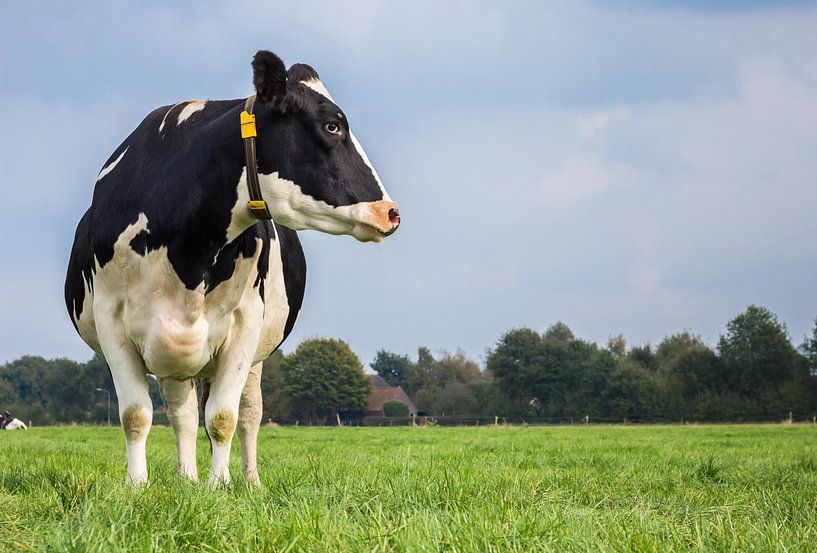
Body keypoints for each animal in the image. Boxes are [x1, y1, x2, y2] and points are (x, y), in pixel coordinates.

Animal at [64, 50, 400, 486]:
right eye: (332, 125)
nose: (390, 212)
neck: (186, 253)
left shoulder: (245, 323)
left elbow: (224, 417)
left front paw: (220, 485)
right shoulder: (111, 321)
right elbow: (136, 415)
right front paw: (138, 486)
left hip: (253, 357)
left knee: (248, 415)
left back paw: (249, 481)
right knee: (182, 413)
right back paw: (186, 479)